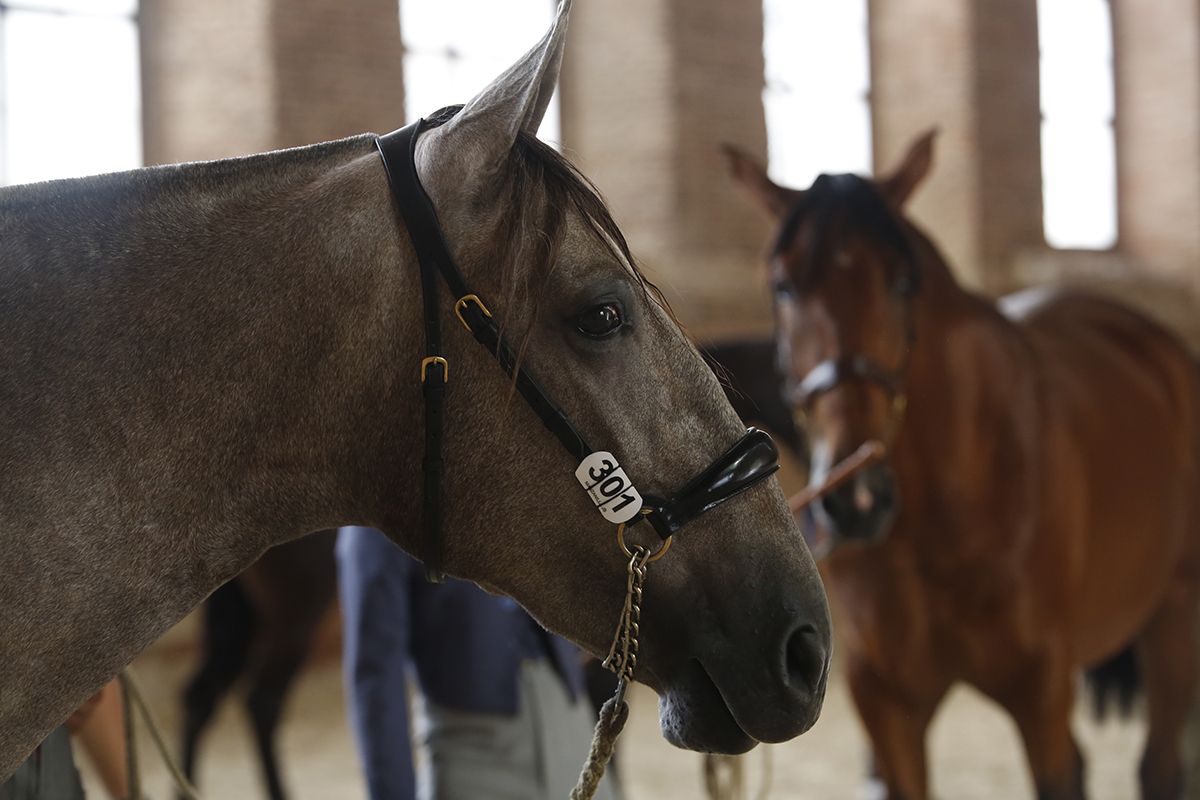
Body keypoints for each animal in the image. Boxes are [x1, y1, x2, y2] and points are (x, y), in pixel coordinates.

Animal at [720, 133, 1200, 800]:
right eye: (784, 286)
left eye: (901, 282)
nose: (856, 501)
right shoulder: (886, 701)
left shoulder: (1042, 692)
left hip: (1174, 615)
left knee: (1160, 767)